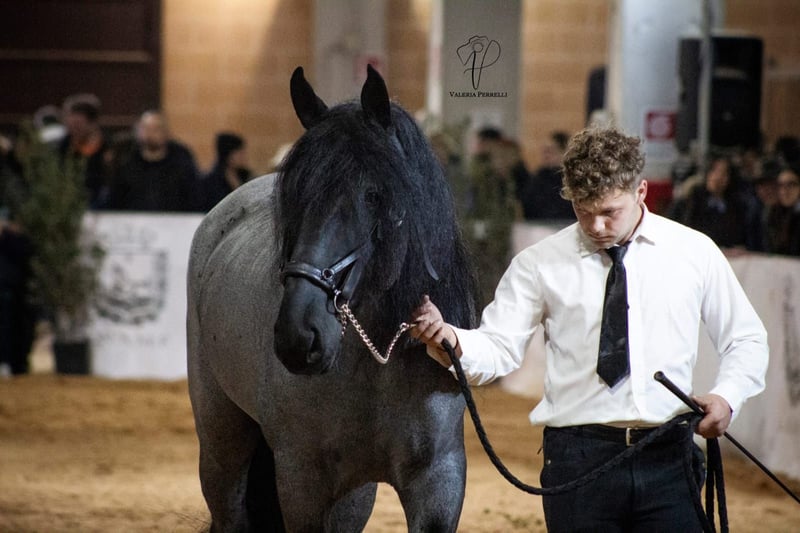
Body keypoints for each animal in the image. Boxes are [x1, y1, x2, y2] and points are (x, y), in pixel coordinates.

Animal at [187, 65, 479, 532]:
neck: (376, 366)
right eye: (294, 197)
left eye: (374, 194)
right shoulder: (302, 481)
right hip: (222, 447)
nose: (298, 337)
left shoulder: (439, 480)